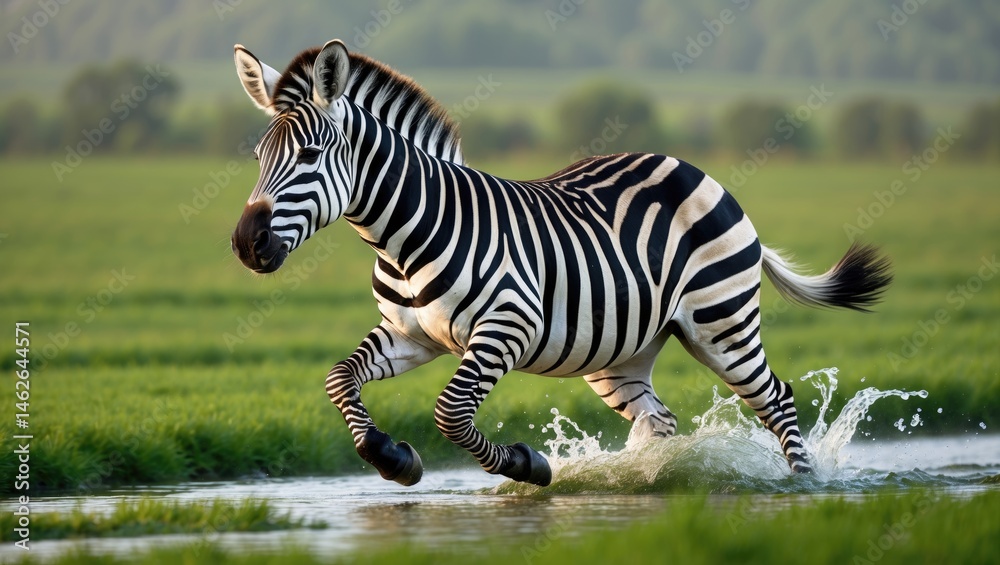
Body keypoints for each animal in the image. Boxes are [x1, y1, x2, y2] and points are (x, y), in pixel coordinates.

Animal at [230, 40, 891, 487]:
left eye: (310, 154)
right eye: (259, 156)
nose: (245, 244)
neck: (403, 236)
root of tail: (692, 167)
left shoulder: (506, 328)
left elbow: (451, 413)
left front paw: (531, 465)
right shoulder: (410, 335)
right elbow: (339, 378)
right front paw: (393, 459)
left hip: (720, 325)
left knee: (777, 398)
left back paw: (803, 487)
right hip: (622, 349)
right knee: (660, 419)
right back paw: (643, 479)